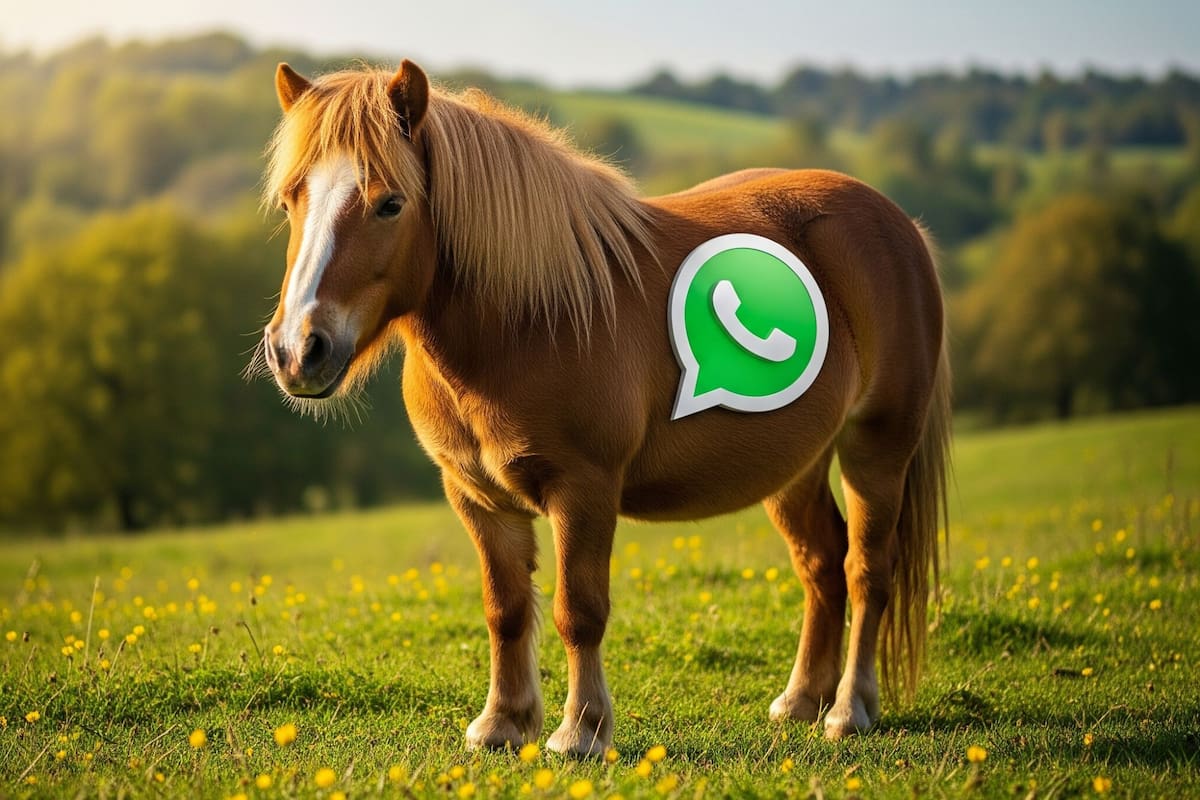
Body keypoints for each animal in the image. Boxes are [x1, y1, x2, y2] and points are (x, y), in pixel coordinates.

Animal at [256, 59, 951, 756]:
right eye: (292, 199)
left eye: (390, 203)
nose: (298, 349)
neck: (527, 319)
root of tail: (900, 225)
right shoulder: (477, 496)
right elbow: (505, 609)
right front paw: (502, 722)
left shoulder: (583, 489)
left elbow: (578, 612)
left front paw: (581, 732)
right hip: (794, 465)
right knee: (821, 564)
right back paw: (803, 700)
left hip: (877, 447)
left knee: (867, 569)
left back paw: (849, 708)